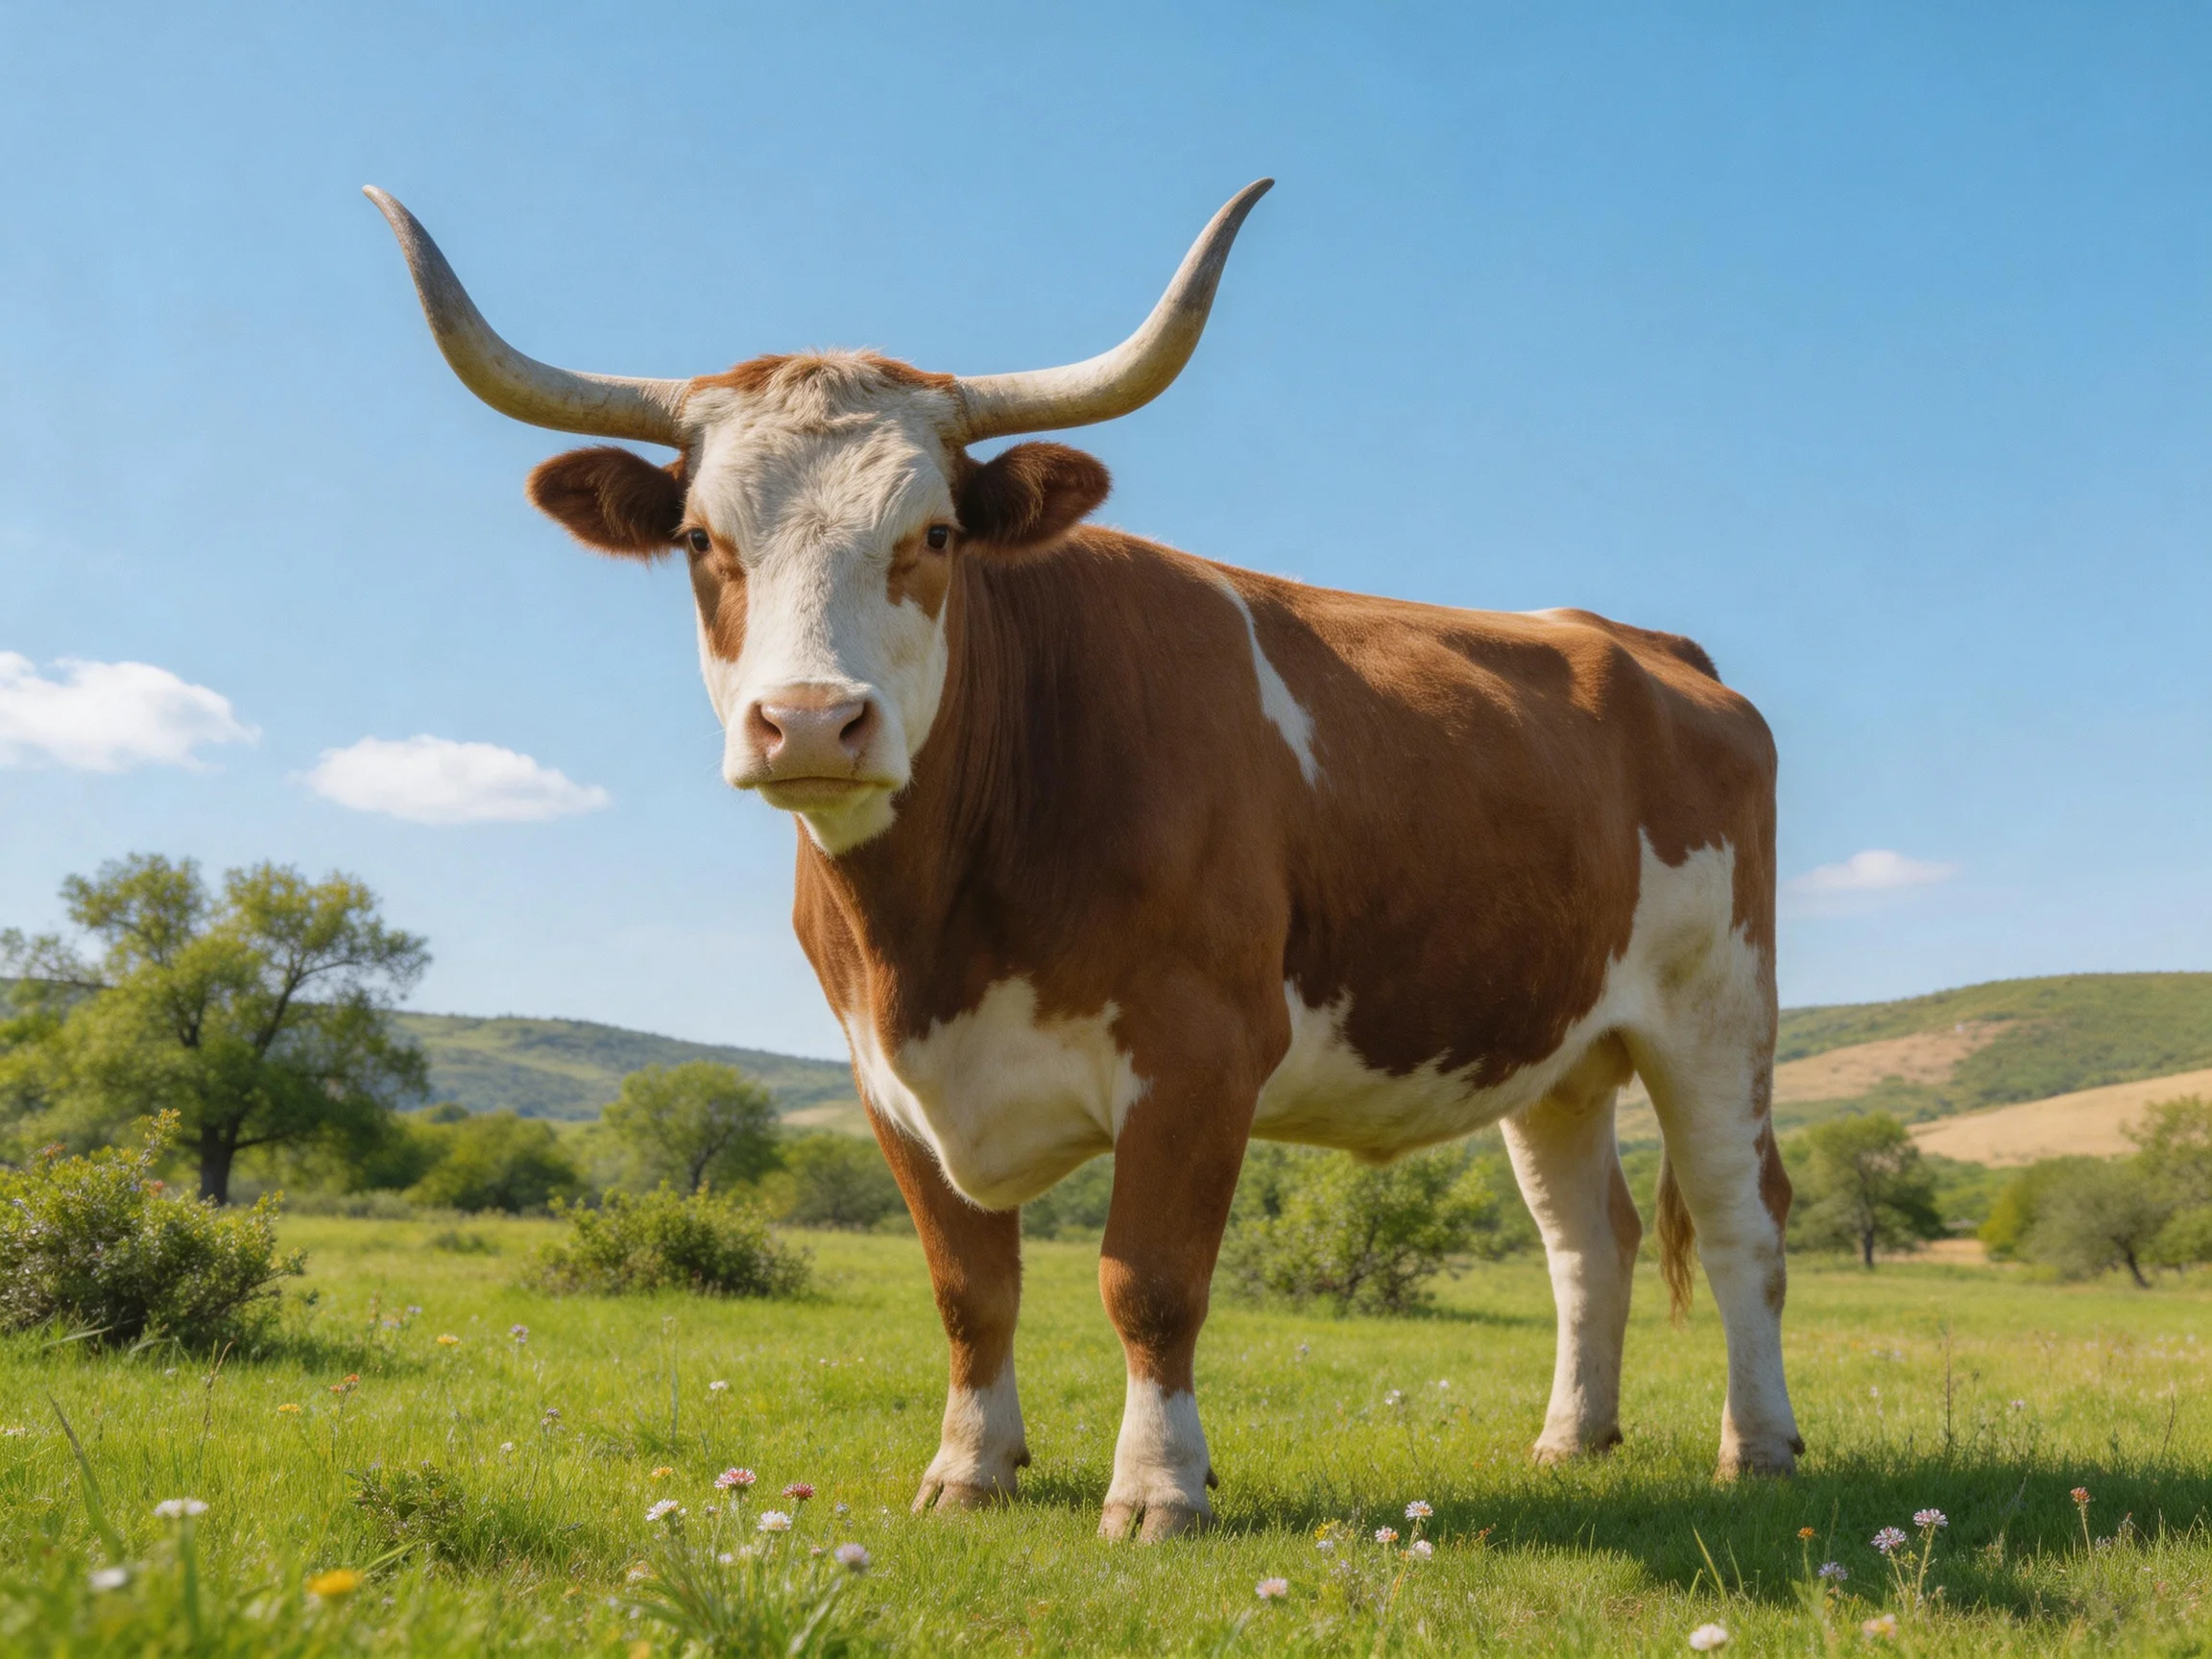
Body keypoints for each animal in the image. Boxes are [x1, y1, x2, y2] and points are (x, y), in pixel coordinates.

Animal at [367, 180, 1802, 1540]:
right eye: (700, 541)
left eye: (936, 534)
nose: (813, 722)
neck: (935, 929)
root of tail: (1641, 643)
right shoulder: (886, 1079)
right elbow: (970, 1289)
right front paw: (969, 1469)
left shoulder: (1200, 1054)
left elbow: (1148, 1284)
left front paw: (1160, 1490)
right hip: (1556, 1048)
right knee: (1587, 1240)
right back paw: (1572, 1440)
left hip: (1720, 1015)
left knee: (1746, 1222)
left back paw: (1760, 1450)